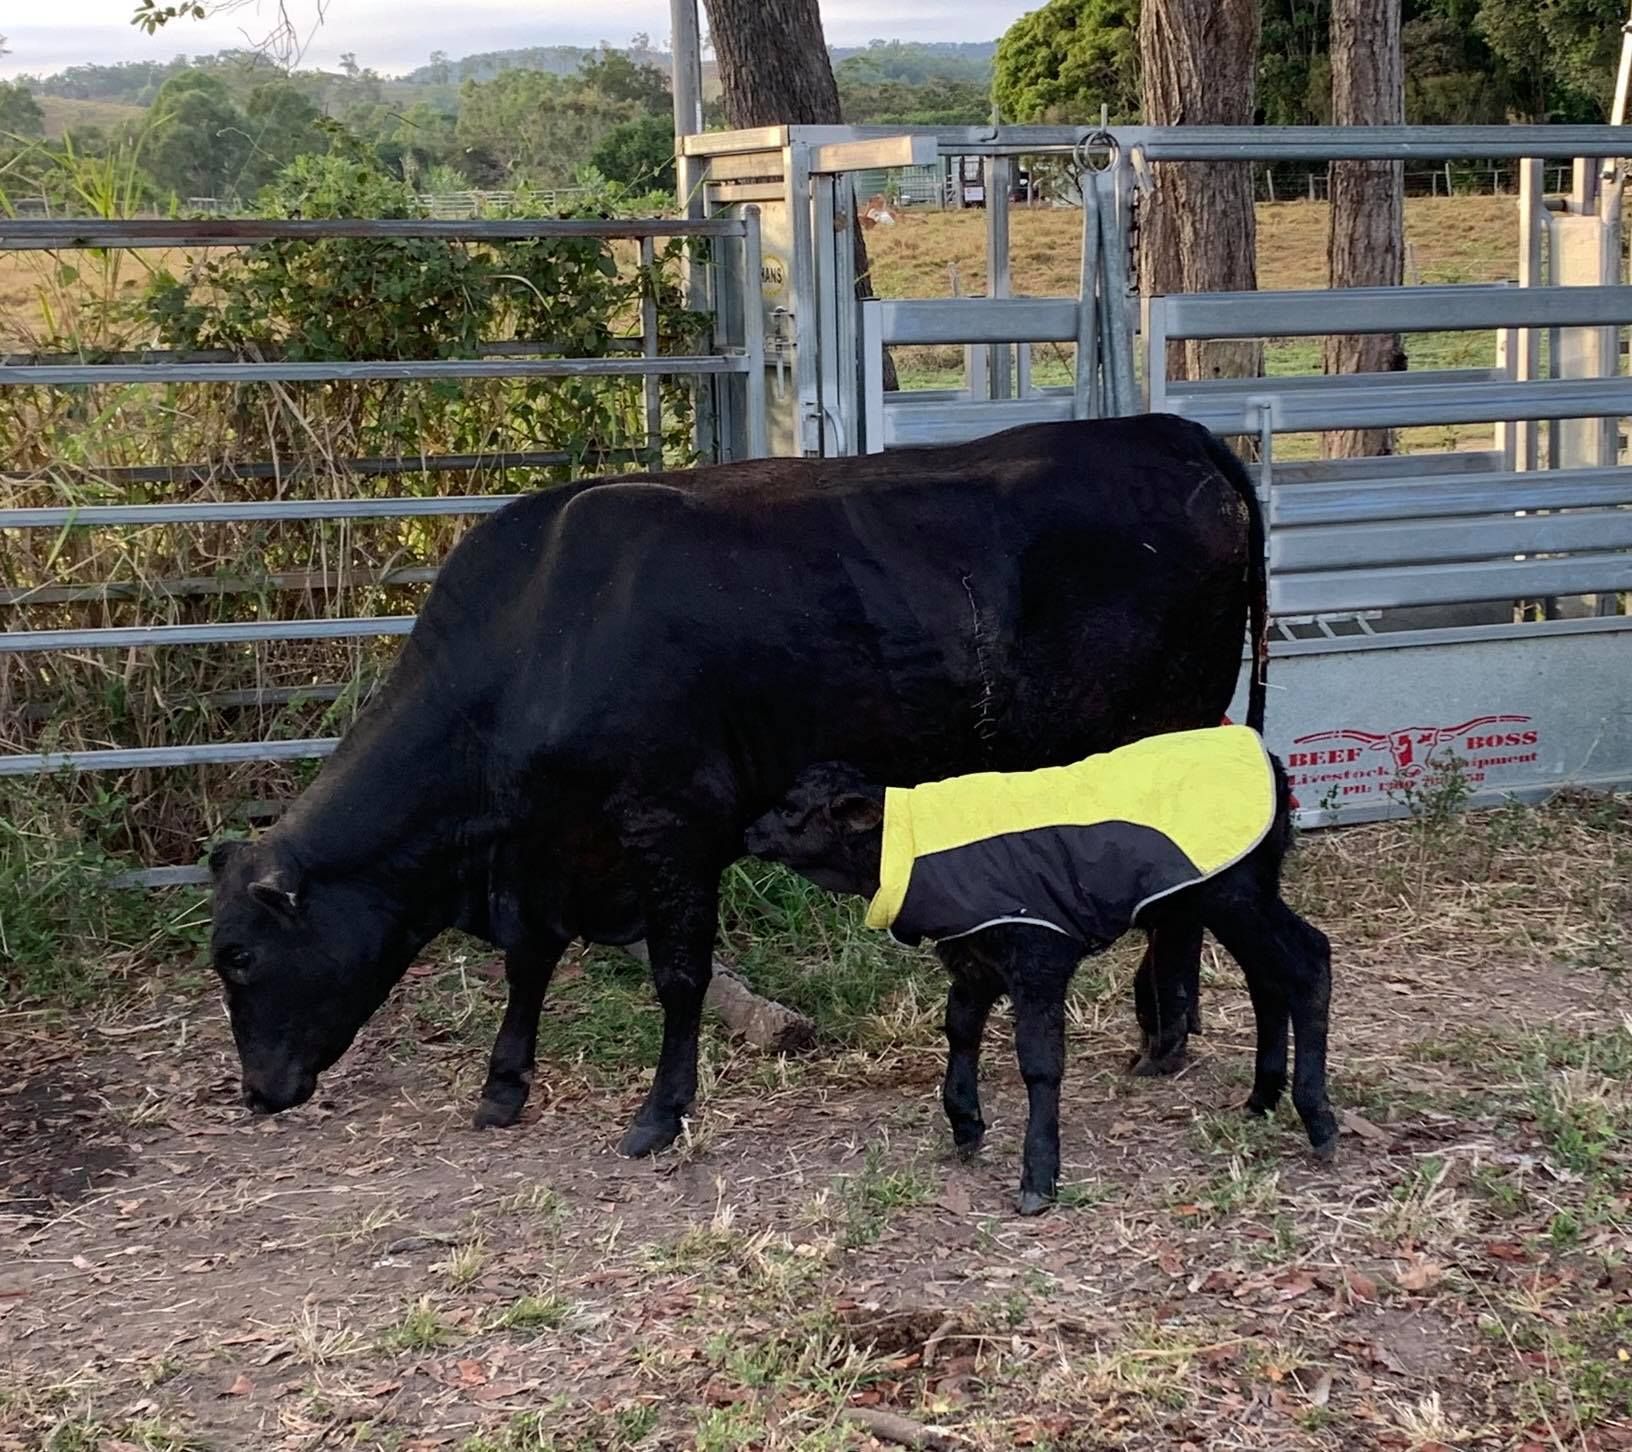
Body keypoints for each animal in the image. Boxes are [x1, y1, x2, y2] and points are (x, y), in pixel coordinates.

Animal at [208, 415, 1266, 1156]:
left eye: (241, 959)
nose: (259, 1092)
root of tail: (1167, 430)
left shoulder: (672, 823)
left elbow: (679, 976)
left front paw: (659, 1112)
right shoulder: (552, 847)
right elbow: (530, 960)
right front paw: (503, 1086)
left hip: (1163, 732)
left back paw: (1166, 1039)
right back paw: (1165, 1031)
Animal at [740, 738, 1336, 1215]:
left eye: (790, 809)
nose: (747, 833)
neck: (907, 851)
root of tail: (1268, 757)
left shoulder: (1039, 953)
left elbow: (1040, 1062)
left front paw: (1038, 1176)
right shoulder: (975, 959)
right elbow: (960, 1030)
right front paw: (965, 1123)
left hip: (1235, 892)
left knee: (1308, 961)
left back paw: (1317, 1118)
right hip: (1228, 896)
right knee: (1267, 979)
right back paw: (1262, 1097)